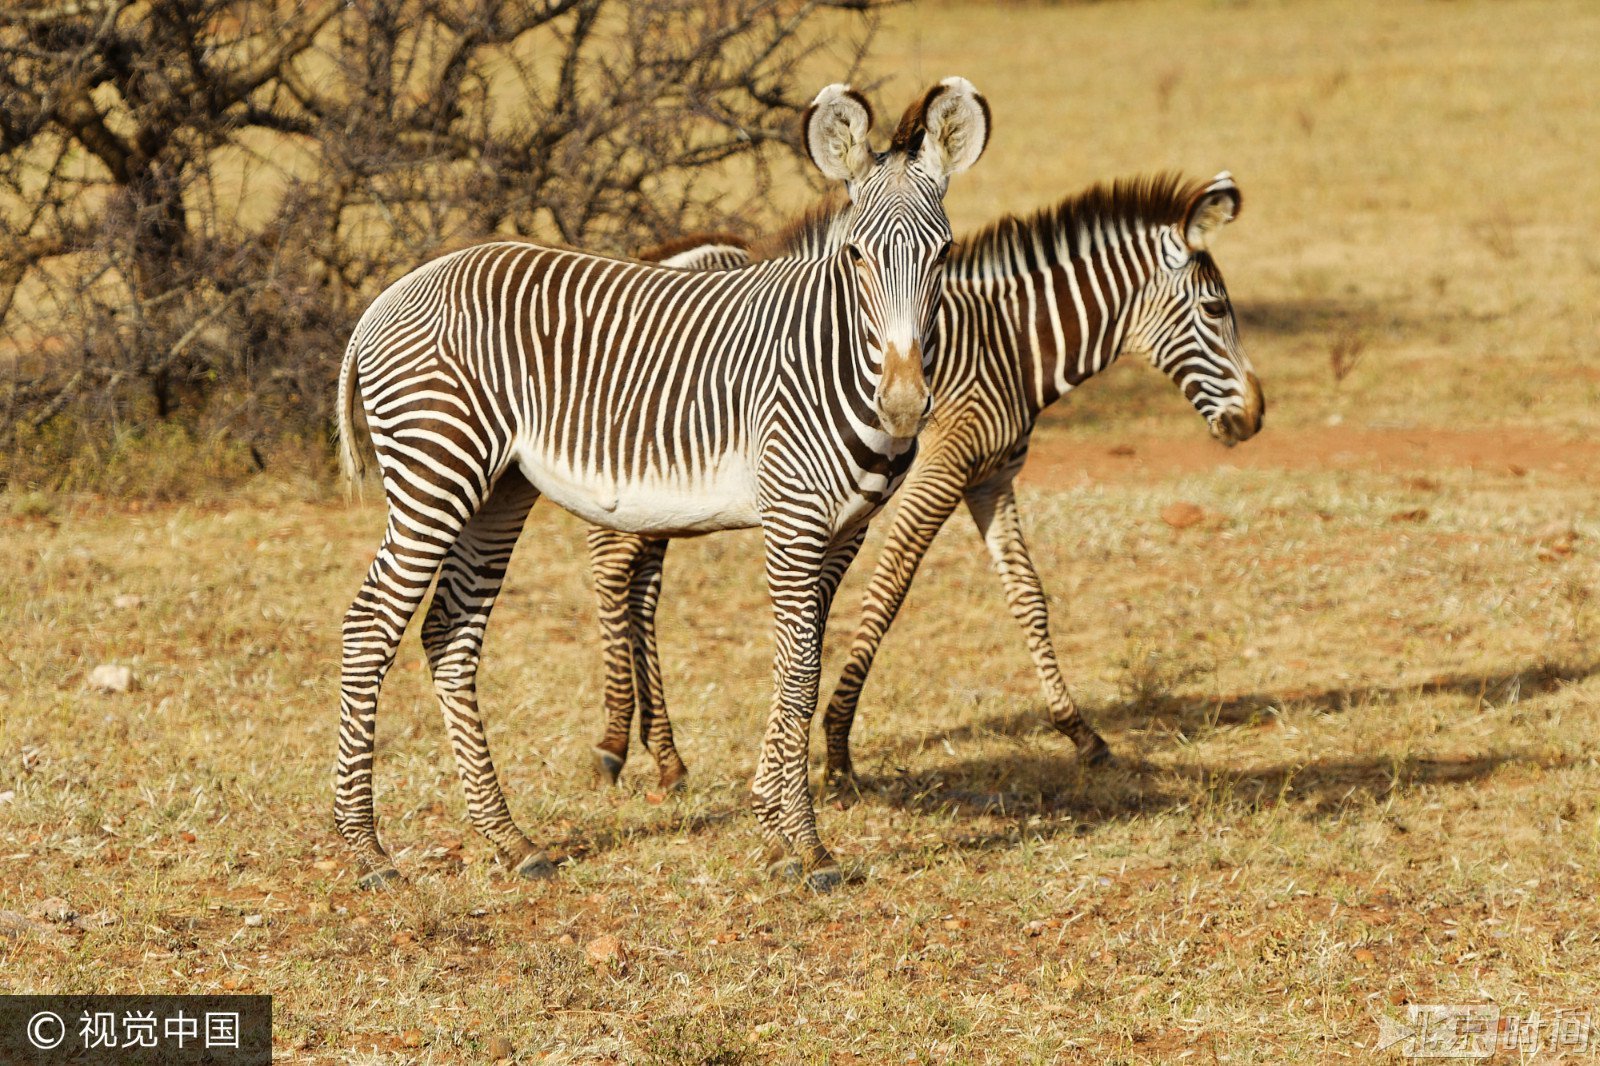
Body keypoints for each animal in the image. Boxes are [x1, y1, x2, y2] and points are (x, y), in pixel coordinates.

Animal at [332, 76, 992, 889]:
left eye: (944, 254)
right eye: (856, 257)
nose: (902, 405)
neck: (831, 351)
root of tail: (392, 293)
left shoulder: (846, 530)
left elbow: (798, 665)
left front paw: (772, 827)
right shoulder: (794, 517)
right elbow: (800, 668)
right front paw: (807, 847)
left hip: (499, 488)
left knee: (450, 634)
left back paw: (510, 841)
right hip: (436, 470)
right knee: (370, 626)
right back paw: (365, 847)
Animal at [585, 170, 1260, 787]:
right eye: (1215, 308)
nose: (1255, 416)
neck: (1011, 346)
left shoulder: (990, 480)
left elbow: (1027, 595)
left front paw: (1082, 734)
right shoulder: (939, 471)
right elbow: (889, 592)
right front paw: (836, 748)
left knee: (638, 586)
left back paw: (664, 756)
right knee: (614, 574)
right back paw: (618, 744)